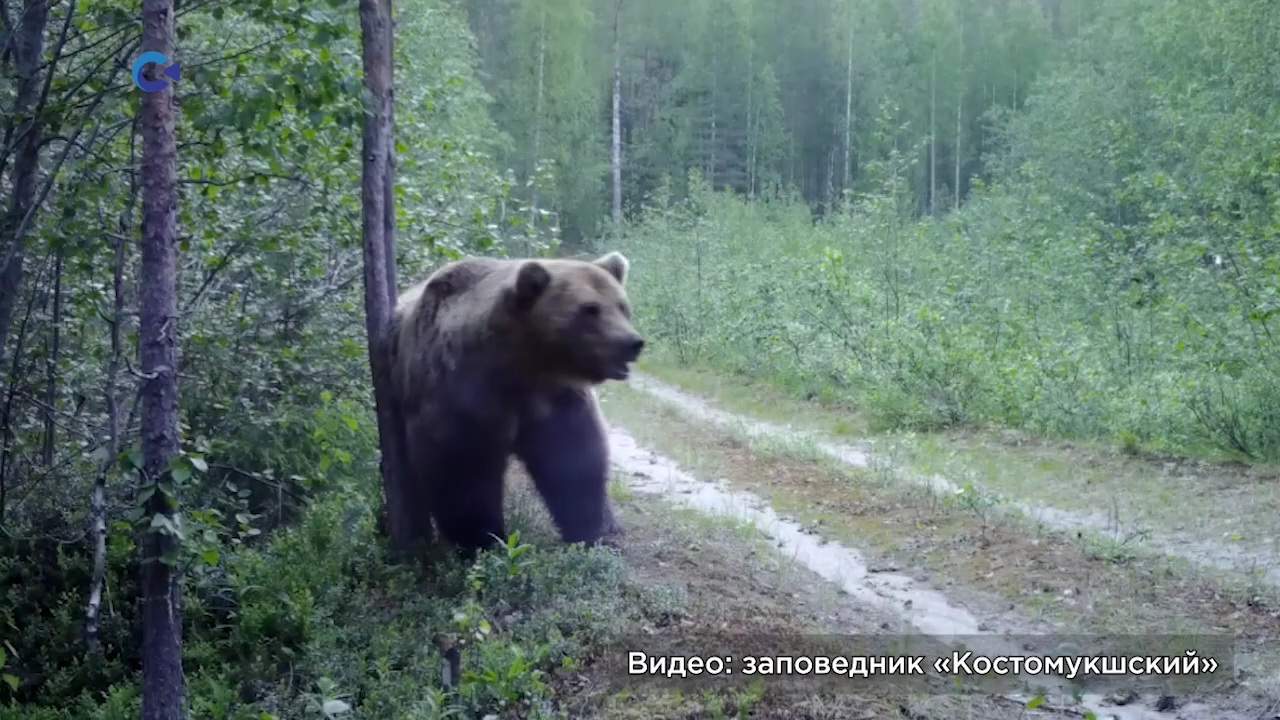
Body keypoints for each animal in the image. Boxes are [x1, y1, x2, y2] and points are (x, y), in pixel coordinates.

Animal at [388, 251, 644, 555]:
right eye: (590, 309)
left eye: (622, 306)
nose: (632, 342)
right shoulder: (461, 393)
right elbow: (463, 470)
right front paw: (484, 539)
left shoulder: (557, 397)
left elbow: (574, 461)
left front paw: (593, 532)